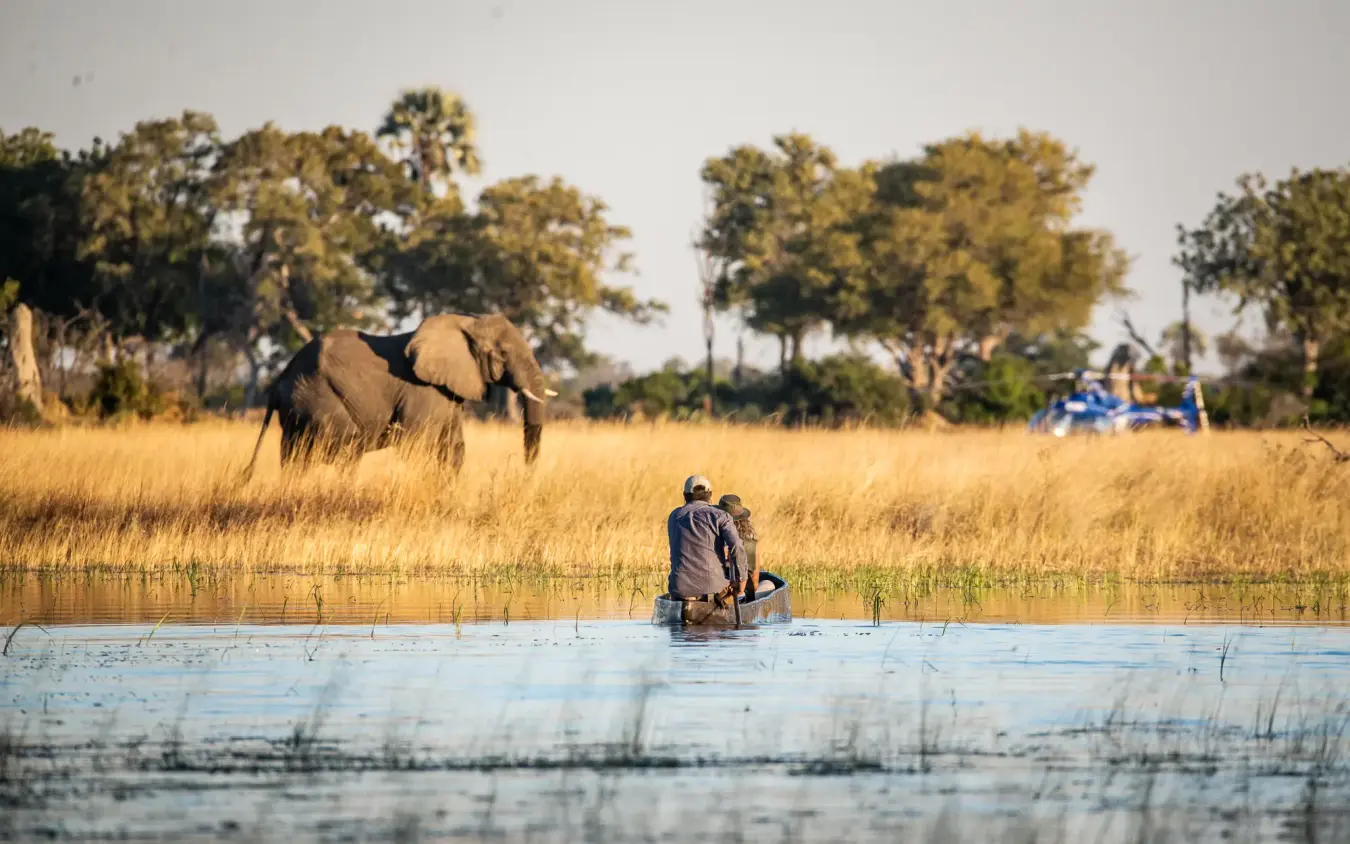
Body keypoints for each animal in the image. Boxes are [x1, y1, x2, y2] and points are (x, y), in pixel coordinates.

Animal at [242, 312, 556, 480]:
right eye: (503, 354)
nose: (526, 478)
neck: (464, 321)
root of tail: (280, 379)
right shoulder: (421, 390)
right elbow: (417, 444)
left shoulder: (447, 391)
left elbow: (453, 447)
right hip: (317, 396)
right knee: (347, 445)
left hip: (298, 408)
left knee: (296, 457)